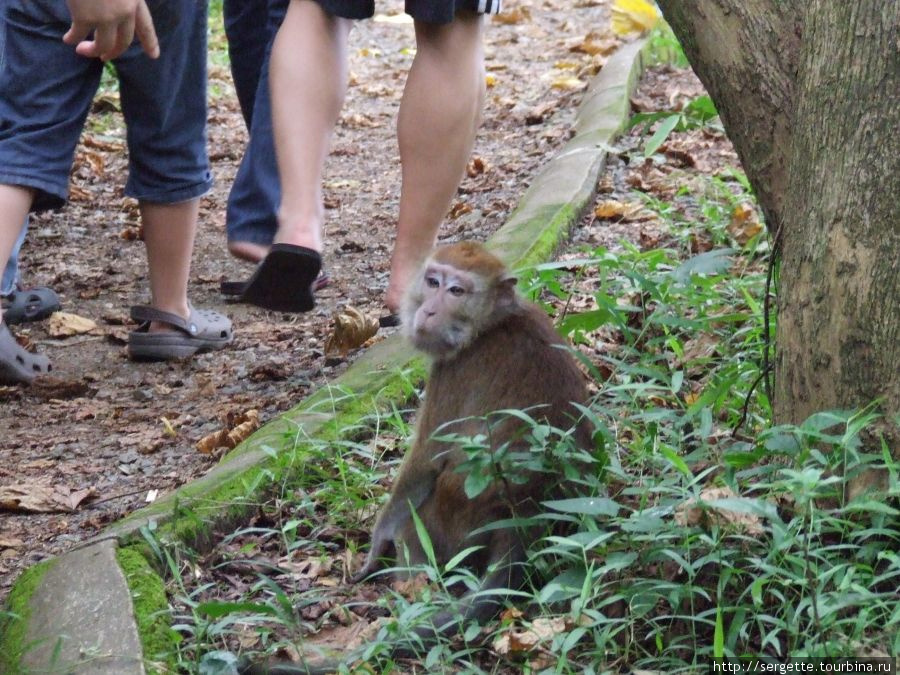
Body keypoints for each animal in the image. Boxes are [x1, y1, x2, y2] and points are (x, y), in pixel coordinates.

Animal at [239, 243, 596, 675]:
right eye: (433, 281)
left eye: (457, 290)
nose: (428, 310)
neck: (489, 326)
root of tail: (521, 516)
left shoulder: (453, 371)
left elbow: (423, 463)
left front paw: (376, 546)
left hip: (450, 523)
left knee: (417, 522)